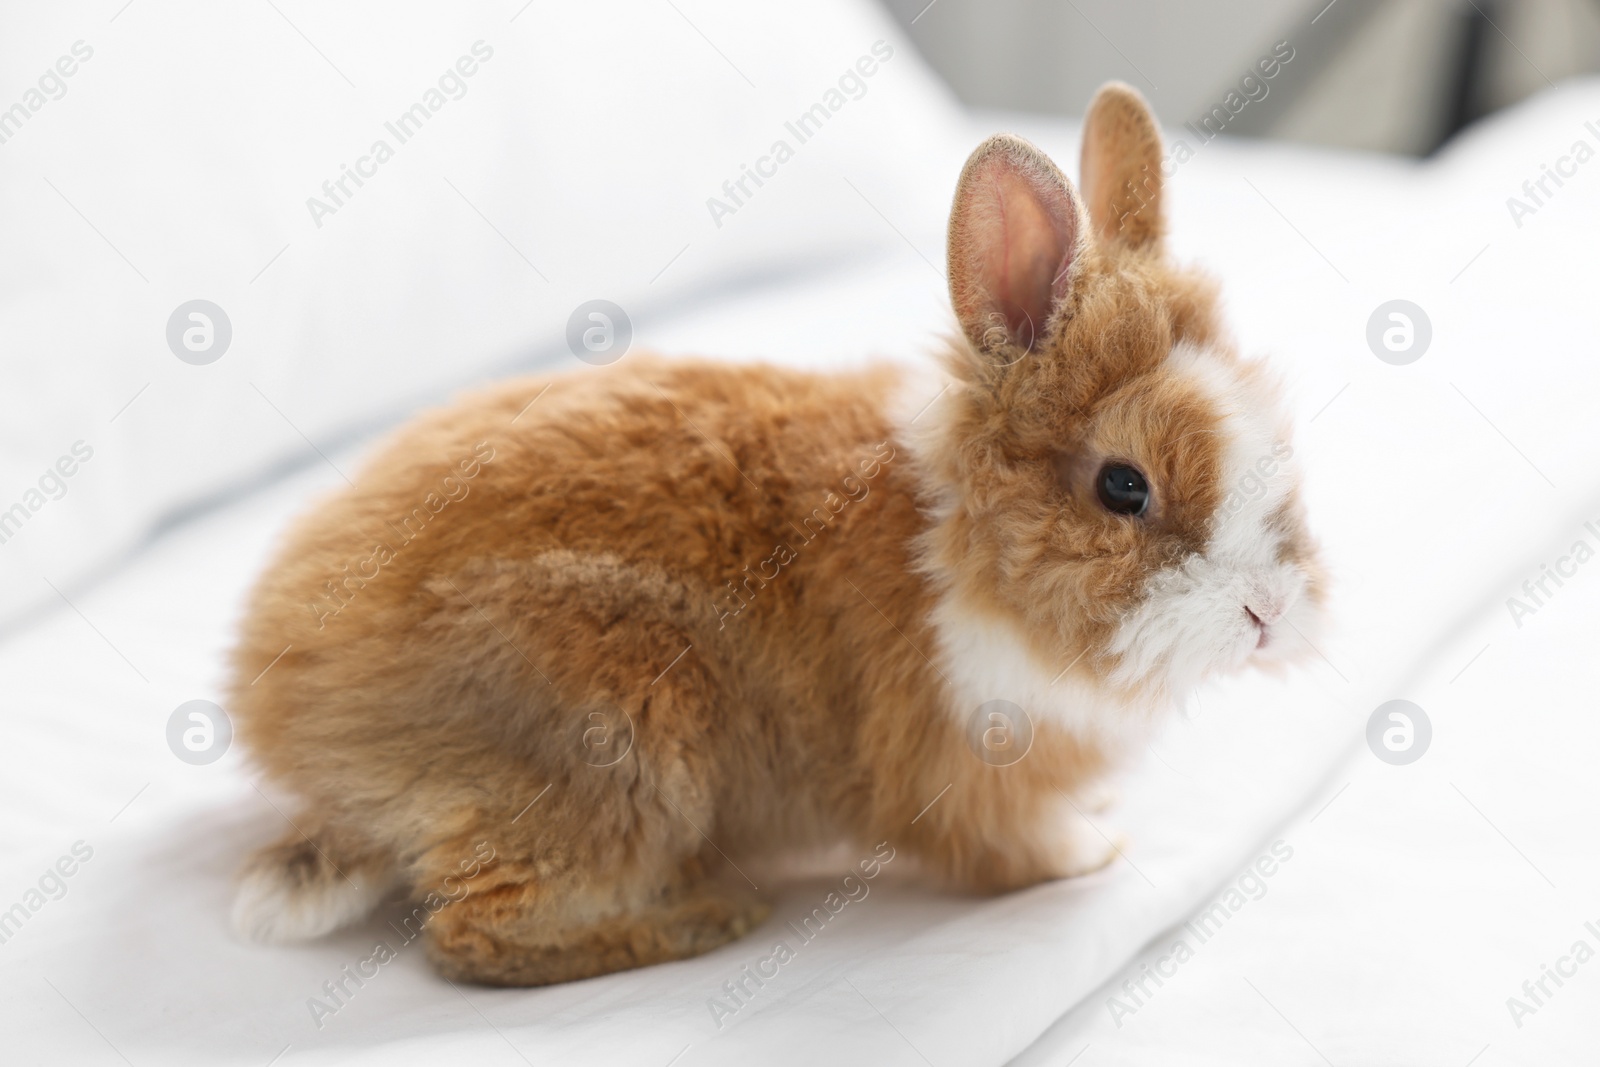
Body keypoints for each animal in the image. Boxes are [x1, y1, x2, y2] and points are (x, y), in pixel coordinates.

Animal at [228, 81, 1324, 985]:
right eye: (1123, 486)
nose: (1271, 613)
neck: (961, 548)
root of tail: (297, 731)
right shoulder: (968, 775)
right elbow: (1015, 850)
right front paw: (1094, 848)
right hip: (614, 756)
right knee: (470, 937)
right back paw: (708, 916)